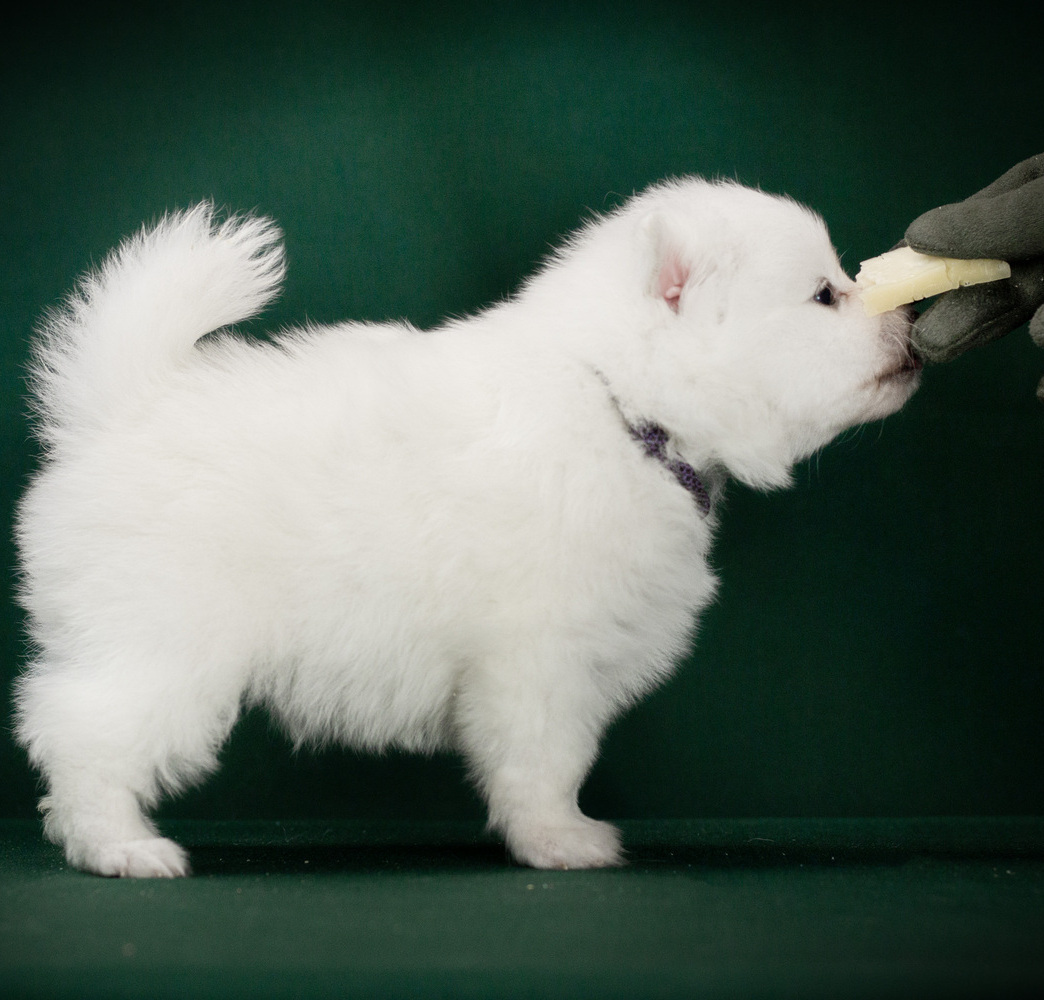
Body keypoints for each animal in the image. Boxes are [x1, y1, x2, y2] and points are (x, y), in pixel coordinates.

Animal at [13, 179, 920, 877]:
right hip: (164, 645)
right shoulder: (540, 659)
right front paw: (560, 841)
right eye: (824, 295)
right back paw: (120, 847)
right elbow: (546, 758)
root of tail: (118, 408)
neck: (621, 403)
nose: (912, 326)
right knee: (83, 730)